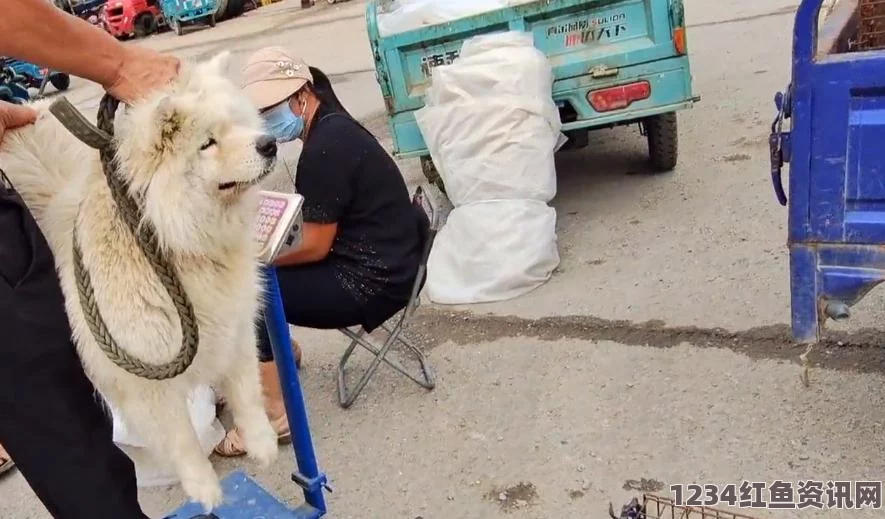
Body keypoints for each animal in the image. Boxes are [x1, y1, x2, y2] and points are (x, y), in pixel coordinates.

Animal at [0, 52, 280, 512]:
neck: (175, 243)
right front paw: (204, 488)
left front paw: (262, 443)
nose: (268, 143)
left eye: (240, 123)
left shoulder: (234, 326)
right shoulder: (145, 373)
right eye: (207, 143)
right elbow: (180, 437)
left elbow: (246, 390)